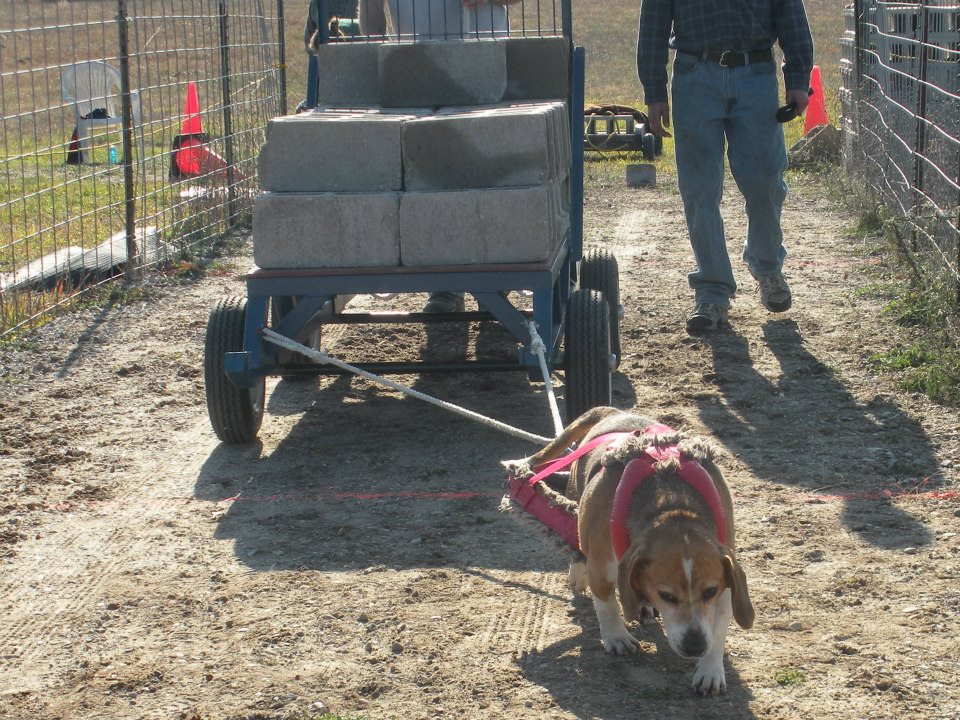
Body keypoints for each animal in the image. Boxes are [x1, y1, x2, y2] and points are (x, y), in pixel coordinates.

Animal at [516, 408, 752, 696]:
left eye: (710, 592)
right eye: (667, 595)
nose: (695, 646)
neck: (673, 510)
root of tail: (612, 411)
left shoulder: (726, 585)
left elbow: (717, 631)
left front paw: (710, 670)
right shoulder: (602, 569)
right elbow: (607, 606)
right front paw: (616, 637)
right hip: (575, 497)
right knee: (576, 541)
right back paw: (578, 573)